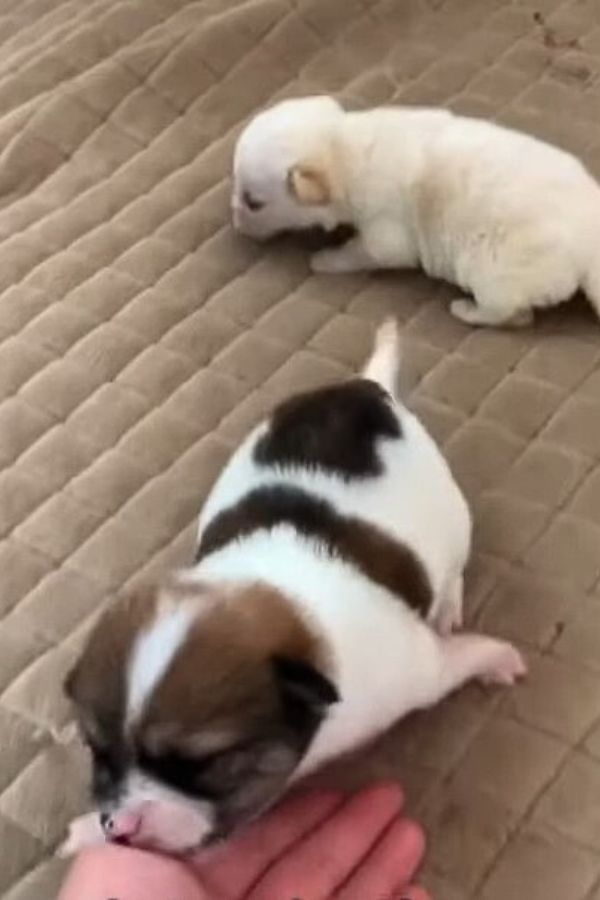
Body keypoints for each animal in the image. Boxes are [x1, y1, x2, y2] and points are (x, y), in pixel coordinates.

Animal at [62, 320, 524, 856]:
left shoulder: (417, 671)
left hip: (454, 517)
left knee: (453, 568)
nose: (121, 826)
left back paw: (447, 603)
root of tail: (366, 386)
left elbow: (460, 659)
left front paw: (498, 659)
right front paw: (87, 830)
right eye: (96, 752)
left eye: (200, 764)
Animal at [231, 96, 600, 326]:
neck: (346, 148)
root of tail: (589, 246)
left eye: (253, 203)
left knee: (513, 314)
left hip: (495, 275)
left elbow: (360, 252)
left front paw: (324, 259)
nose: (234, 224)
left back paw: (466, 310)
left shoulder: (385, 237)